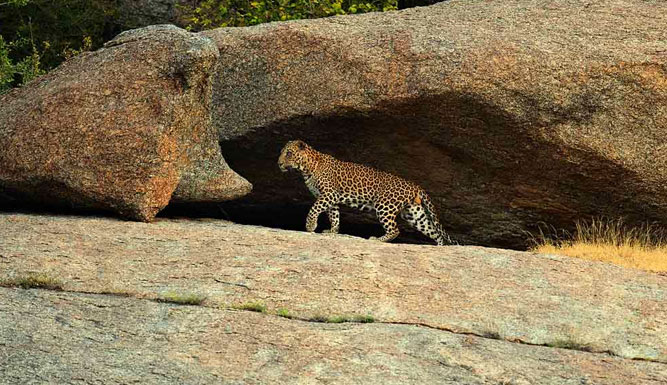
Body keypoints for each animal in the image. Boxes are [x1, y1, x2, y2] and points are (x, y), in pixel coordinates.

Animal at [276, 140, 454, 244]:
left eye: (289, 153)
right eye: (282, 152)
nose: (279, 163)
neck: (307, 168)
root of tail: (415, 185)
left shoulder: (328, 195)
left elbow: (314, 209)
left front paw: (310, 226)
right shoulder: (330, 199)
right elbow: (334, 216)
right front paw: (332, 231)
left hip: (385, 206)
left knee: (395, 229)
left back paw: (378, 239)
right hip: (414, 214)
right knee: (435, 233)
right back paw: (439, 248)